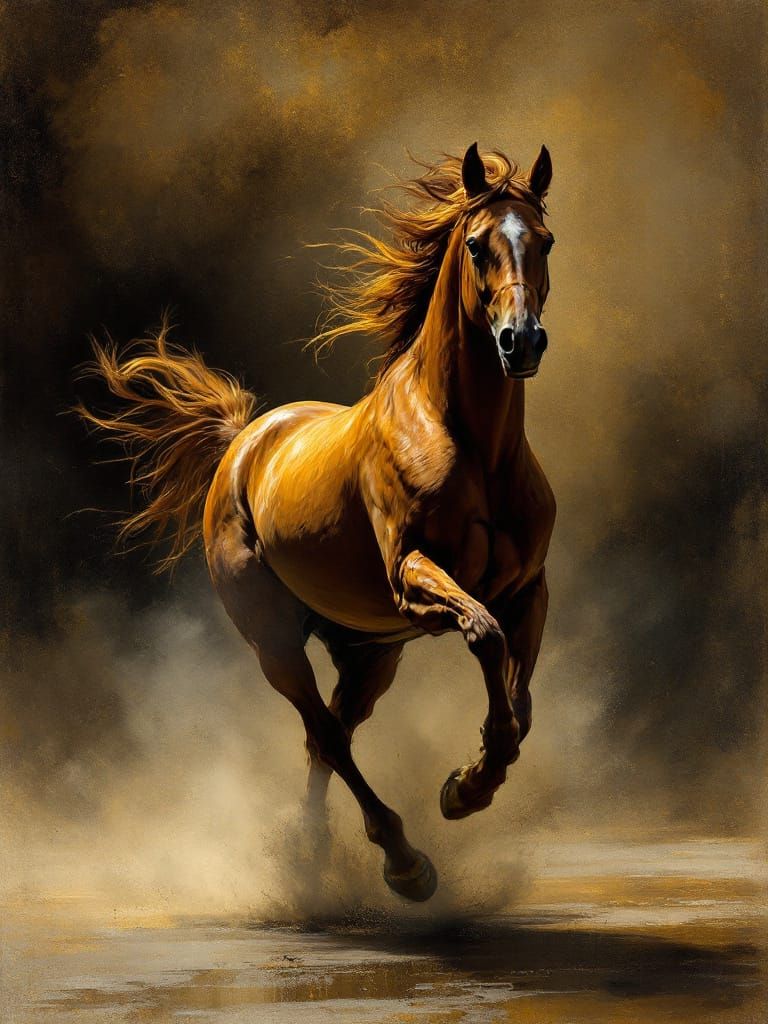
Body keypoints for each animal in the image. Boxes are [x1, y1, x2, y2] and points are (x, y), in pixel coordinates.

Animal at [78, 143, 557, 903]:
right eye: (478, 245)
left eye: (545, 241)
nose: (522, 343)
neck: (470, 441)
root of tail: (243, 442)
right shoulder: (412, 577)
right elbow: (484, 635)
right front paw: (464, 790)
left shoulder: (528, 588)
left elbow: (522, 698)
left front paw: (468, 783)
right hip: (274, 639)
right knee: (325, 733)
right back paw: (401, 860)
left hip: (369, 652)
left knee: (330, 734)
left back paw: (312, 852)